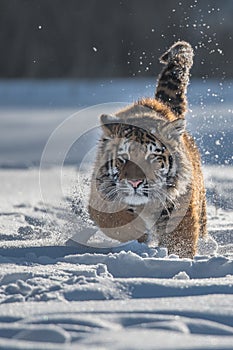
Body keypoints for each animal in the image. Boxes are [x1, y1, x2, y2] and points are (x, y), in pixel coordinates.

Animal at [87, 41, 206, 260]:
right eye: (123, 158)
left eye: (152, 157)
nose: (135, 183)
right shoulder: (100, 197)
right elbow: (116, 220)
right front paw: (139, 235)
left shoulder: (180, 203)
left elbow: (181, 238)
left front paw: (180, 259)